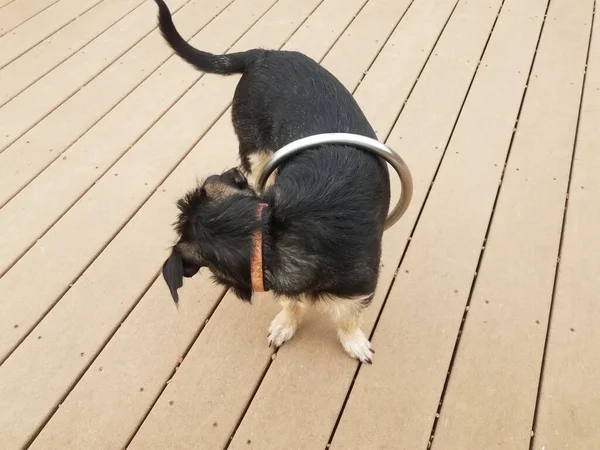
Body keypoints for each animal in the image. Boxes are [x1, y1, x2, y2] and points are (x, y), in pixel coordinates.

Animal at [156, 0, 390, 362]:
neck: (273, 232)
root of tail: (262, 54)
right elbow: (293, 302)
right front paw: (285, 324)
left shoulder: (359, 289)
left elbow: (347, 316)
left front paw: (353, 340)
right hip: (256, 153)